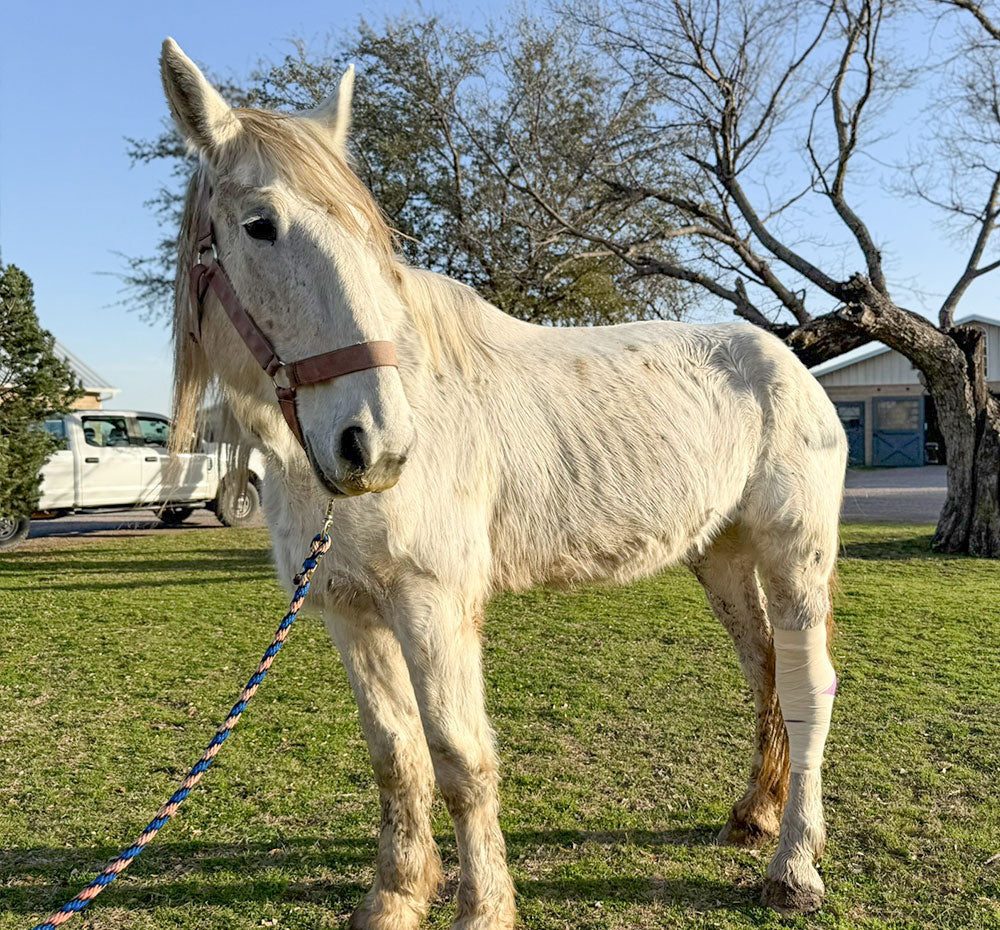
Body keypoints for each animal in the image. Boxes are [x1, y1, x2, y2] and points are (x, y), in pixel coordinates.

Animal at [160, 38, 845, 929]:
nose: (374, 444)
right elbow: (394, 756)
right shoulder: (348, 610)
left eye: (371, 238)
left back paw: (793, 865)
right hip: (722, 557)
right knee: (762, 670)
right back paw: (754, 814)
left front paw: (482, 906)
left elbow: (459, 760)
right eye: (260, 226)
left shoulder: (431, 604)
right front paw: (396, 896)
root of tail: (789, 362)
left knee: (806, 689)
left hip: (796, 559)